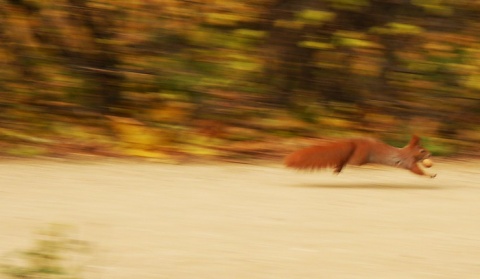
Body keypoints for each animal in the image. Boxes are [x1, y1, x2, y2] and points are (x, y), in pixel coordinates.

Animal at [284, 136, 438, 179]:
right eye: (423, 150)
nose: (431, 154)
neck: (409, 152)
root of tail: (354, 142)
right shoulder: (408, 162)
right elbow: (417, 170)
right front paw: (431, 175)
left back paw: (337, 168)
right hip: (360, 158)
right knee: (349, 160)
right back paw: (339, 166)